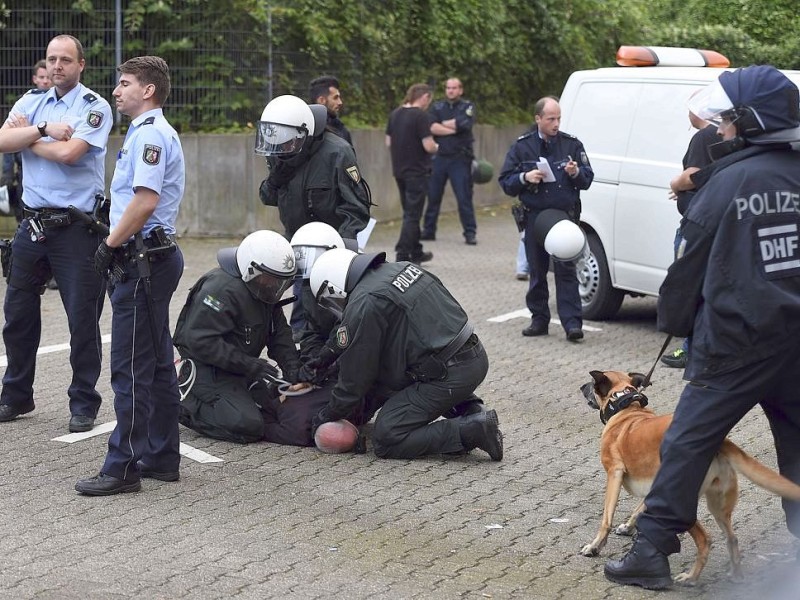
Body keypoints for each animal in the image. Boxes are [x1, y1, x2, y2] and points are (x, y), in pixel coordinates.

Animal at [580, 368, 800, 584]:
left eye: (592, 384)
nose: (582, 387)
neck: (626, 408)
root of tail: (721, 443)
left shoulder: (614, 474)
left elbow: (606, 519)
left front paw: (595, 546)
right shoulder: (655, 485)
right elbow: (639, 509)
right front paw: (628, 526)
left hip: (683, 499)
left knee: (705, 539)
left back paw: (690, 577)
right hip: (717, 504)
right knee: (731, 537)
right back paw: (735, 575)